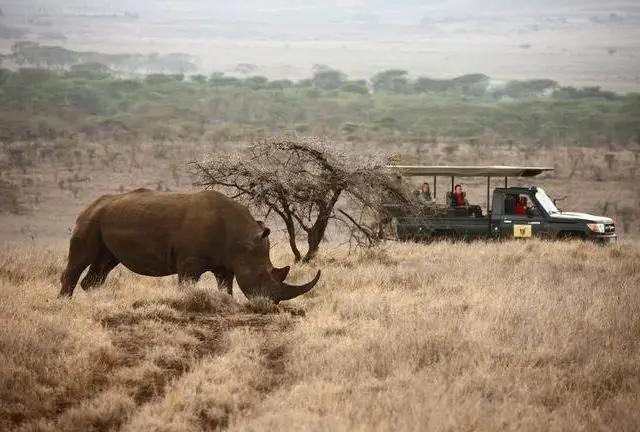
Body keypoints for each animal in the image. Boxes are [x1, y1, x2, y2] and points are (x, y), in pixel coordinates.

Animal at [59, 188, 321, 304]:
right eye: (261, 277)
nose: (270, 304)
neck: (242, 239)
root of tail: (91, 204)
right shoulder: (190, 261)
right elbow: (187, 283)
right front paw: (186, 302)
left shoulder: (226, 262)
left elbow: (225, 286)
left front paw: (226, 302)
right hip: (90, 219)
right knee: (81, 259)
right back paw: (65, 304)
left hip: (107, 219)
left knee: (103, 264)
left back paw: (93, 300)